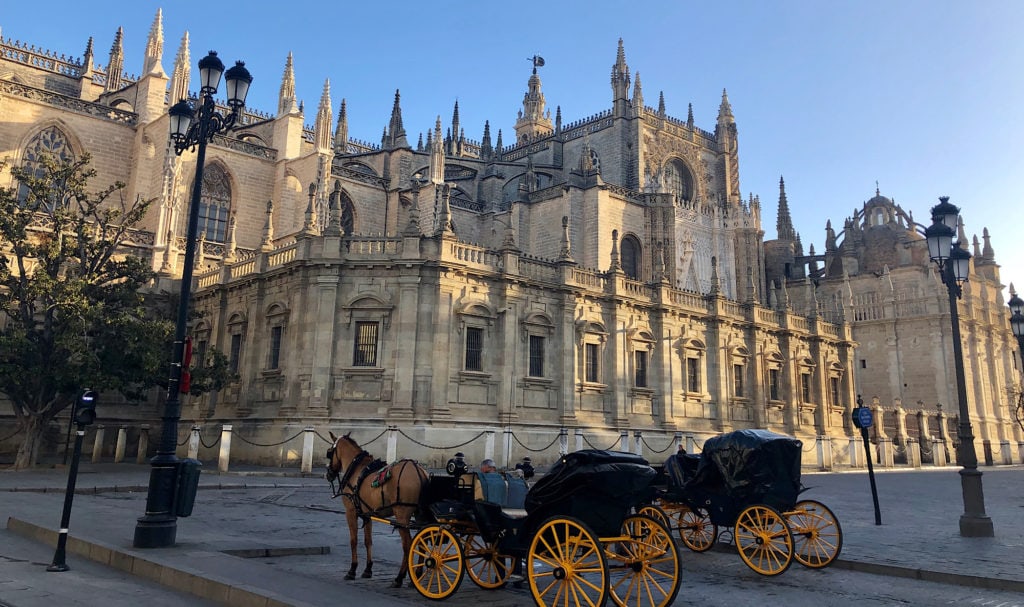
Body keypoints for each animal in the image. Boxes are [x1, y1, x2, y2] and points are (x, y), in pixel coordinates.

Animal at [323, 427, 428, 585]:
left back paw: (400, 577)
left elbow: (353, 540)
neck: (356, 470)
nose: (328, 474)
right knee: (422, 542)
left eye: (329, 452)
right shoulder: (368, 514)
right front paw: (368, 569)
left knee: (408, 545)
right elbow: (368, 541)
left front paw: (352, 570)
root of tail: (419, 471)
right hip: (419, 515)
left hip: (402, 515)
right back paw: (417, 575)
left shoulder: (350, 512)